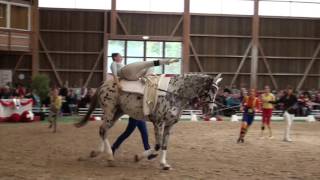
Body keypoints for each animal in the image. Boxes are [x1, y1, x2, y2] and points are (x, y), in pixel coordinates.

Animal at [74, 73, 222, 170]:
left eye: (217, 90)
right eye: (212, 89)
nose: (210, 111)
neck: (174, 93)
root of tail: (104, 84)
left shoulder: (169, 125)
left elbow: (164, 145)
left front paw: (164, 164)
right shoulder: (159, 123)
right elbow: (157, 145)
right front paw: (138, 157)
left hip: (117, 113)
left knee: (103, 130)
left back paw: (97, 153)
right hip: (110, 111)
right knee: (103, 130)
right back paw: (109, 157)